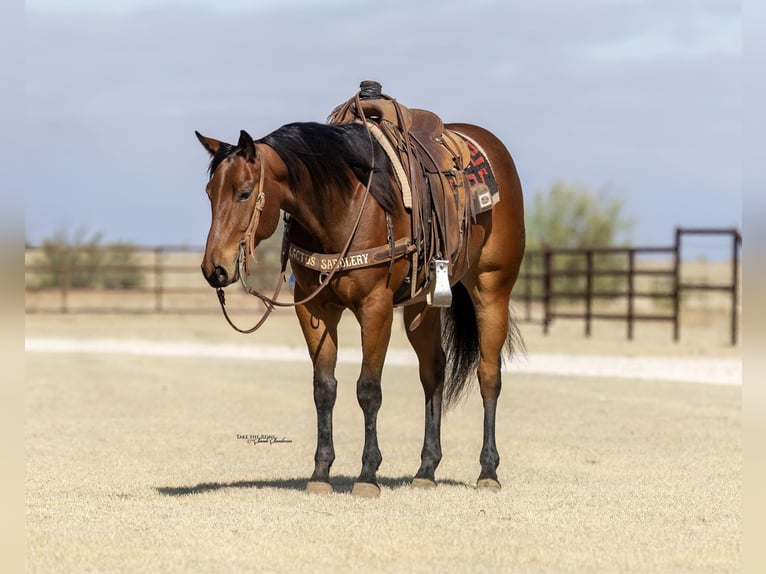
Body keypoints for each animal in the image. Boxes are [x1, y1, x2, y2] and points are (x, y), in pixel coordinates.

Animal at [195, 100, 525, 498]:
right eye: (210, 194)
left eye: (244, 192)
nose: (215, 268)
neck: (342, 207)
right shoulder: (314, 308)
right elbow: (324, 389)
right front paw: (320, 473)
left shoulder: (375, 307)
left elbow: (368, 389)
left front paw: (368, 474)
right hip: (421, 305)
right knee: (433, 372)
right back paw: (426, 469)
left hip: (492, 289)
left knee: (489, 374)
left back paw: (488, 471)